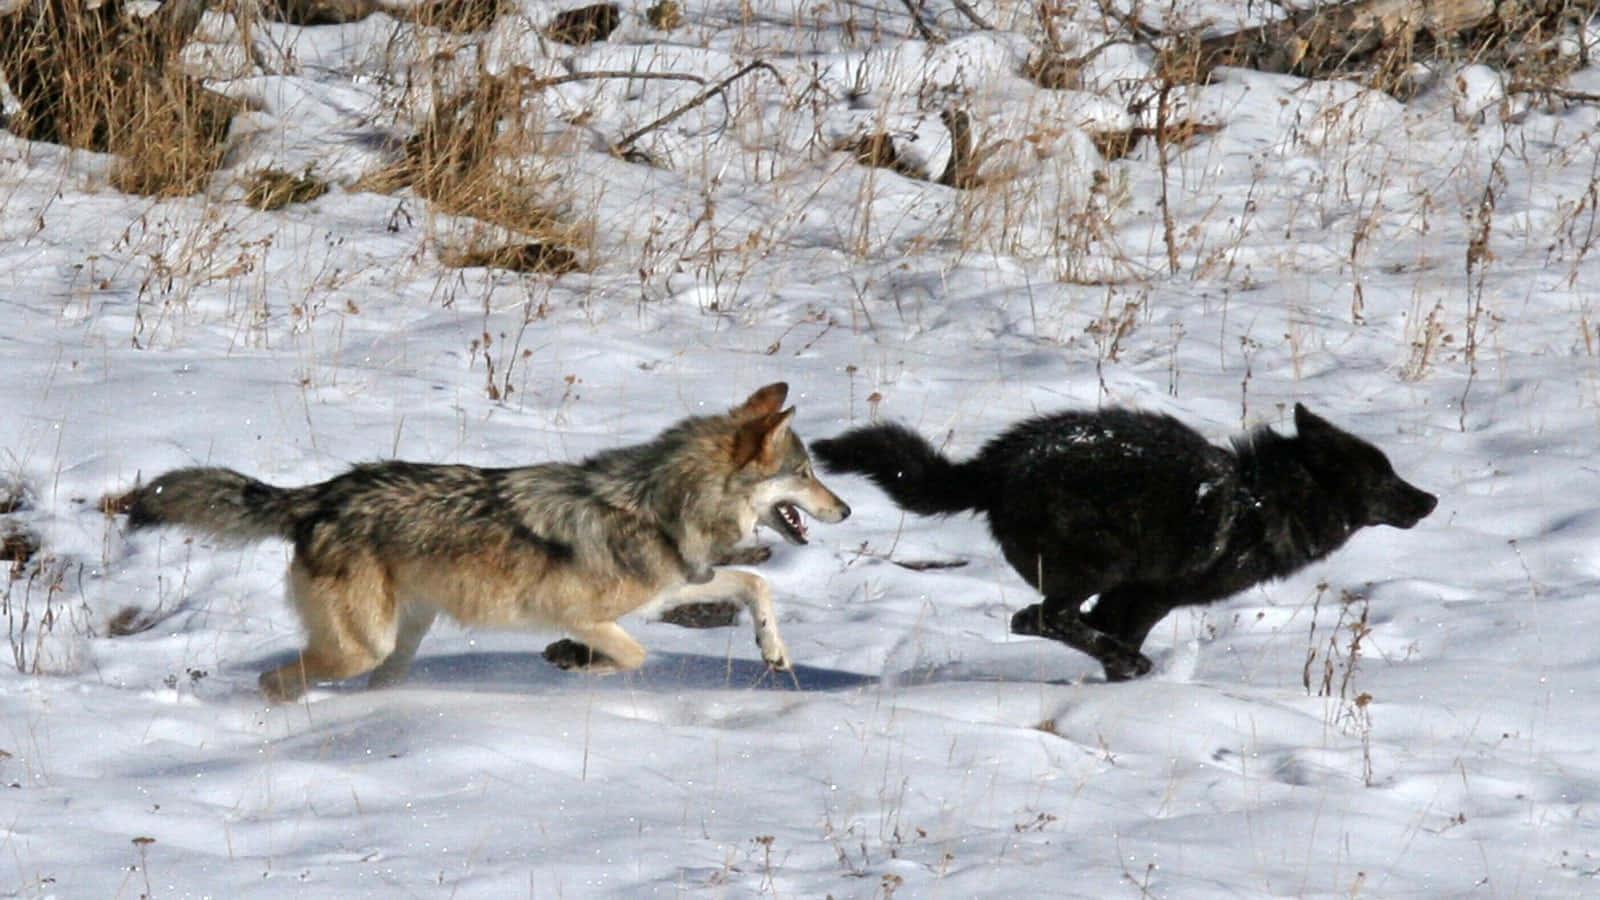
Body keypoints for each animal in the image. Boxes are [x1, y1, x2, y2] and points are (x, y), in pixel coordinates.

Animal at [119, 383, 850, 702]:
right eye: (806, 473)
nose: (844, 507)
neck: (661, 506)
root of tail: (321, 494)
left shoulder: (675, 586)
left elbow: (756, 582)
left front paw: (774, 649)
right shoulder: (578, 612)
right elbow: (635, 656)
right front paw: (571, 663)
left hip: (395, 646)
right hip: (362, 647)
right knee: (274, 681)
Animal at [812, 403, 1435, 681]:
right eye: (1386, 479)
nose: (1430, 500)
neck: (1265, 500)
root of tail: (996, 465)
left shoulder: (1126, 602)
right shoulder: (1146, 596)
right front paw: (1126, 672)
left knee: (1042, 619)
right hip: (1102, 566)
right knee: (1035, 618)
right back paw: (1130, 660)